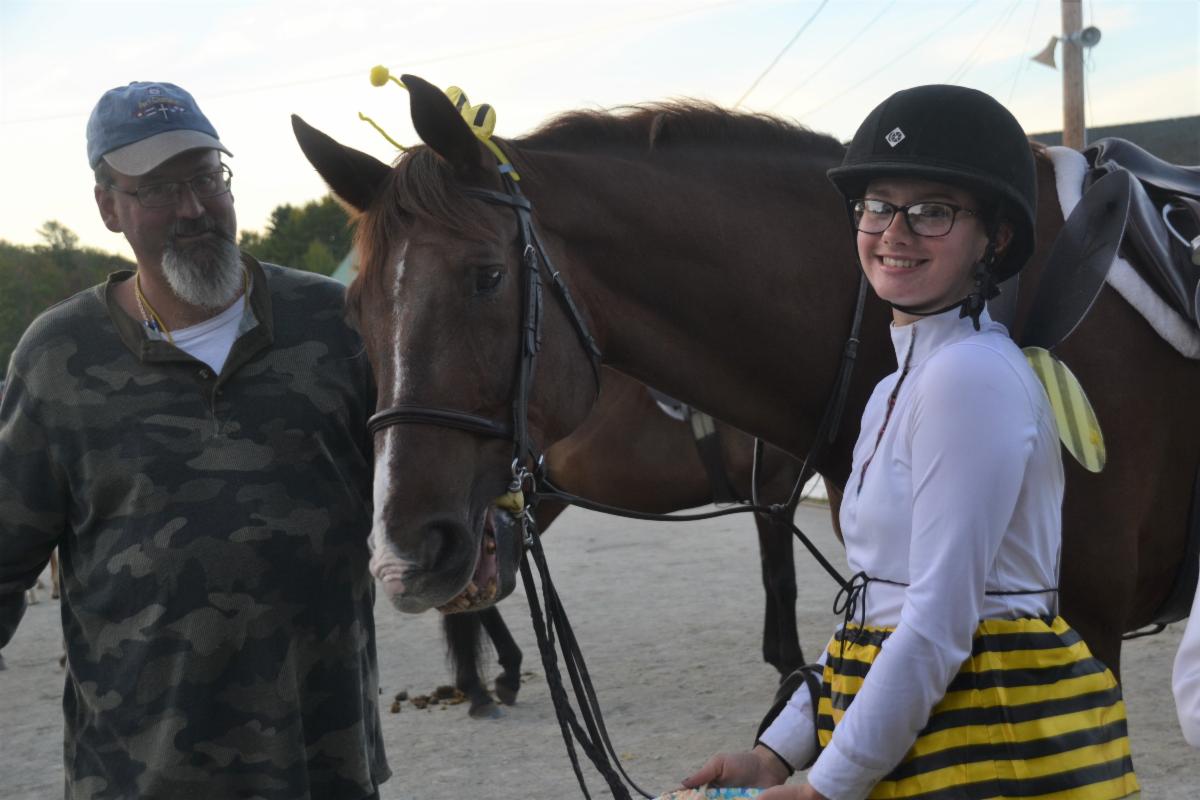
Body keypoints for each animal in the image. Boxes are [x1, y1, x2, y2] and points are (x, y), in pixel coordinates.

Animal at [442, 366, 815, 717]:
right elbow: (783, 581)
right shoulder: (774, 492)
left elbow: (767, 577)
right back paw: (480, 689)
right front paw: (793, 667)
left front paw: (776, 656)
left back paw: (504, 675)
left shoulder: (763, 502)